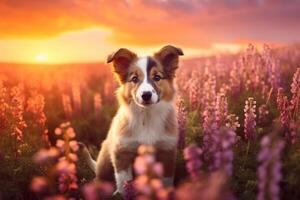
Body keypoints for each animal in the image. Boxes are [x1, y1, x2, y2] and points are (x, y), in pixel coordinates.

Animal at [83, 45, 184, 194]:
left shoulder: (167, 151)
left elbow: (166, 181)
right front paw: (121, 194)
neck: (146, 116)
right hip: (105, 162)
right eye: (135, 79)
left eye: (157, 77)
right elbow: (123, 182)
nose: (146, 95)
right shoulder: (122, 152)